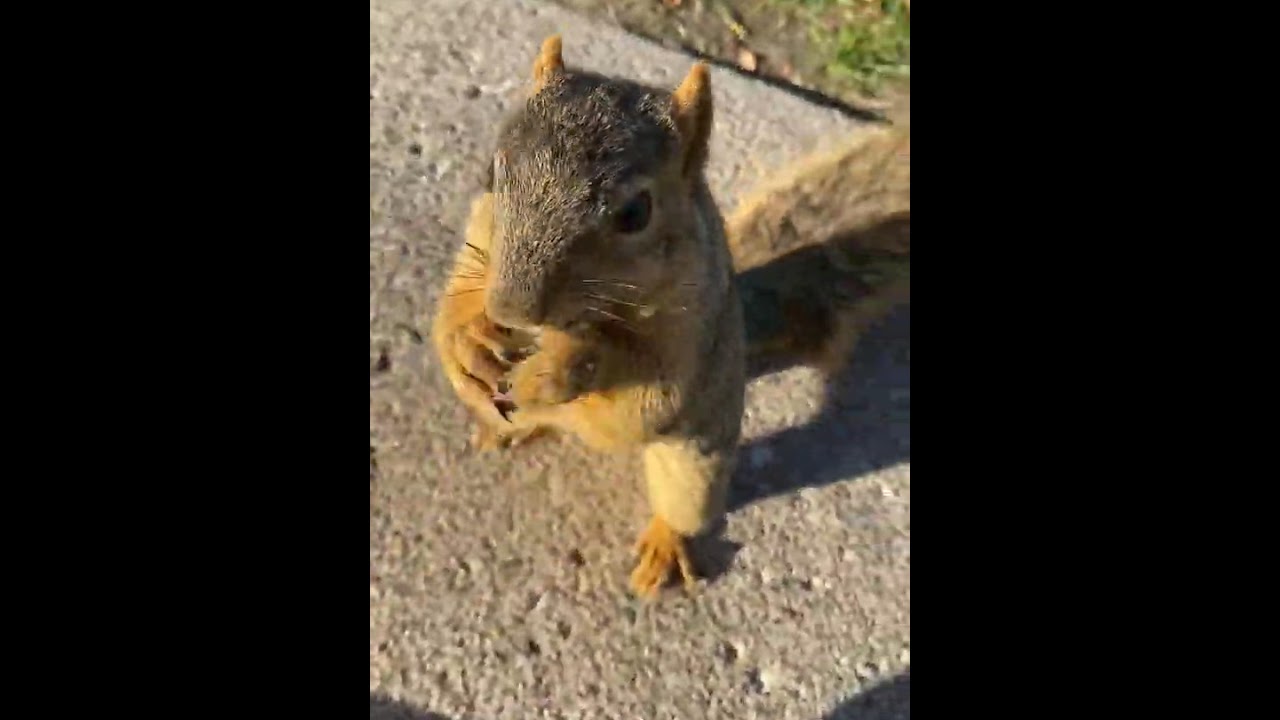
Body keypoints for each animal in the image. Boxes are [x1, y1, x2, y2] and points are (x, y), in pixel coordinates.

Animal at [431, 35, 910, 599]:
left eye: (636, 213)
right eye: (491, 173)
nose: (512, 309)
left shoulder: (687, 333)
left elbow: (643, 400)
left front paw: (559, 369)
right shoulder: (479, 241)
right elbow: (456, 300)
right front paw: (467, 346)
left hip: (697, 456)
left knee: (682, 501)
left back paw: (666, 545)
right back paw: (505, 425)